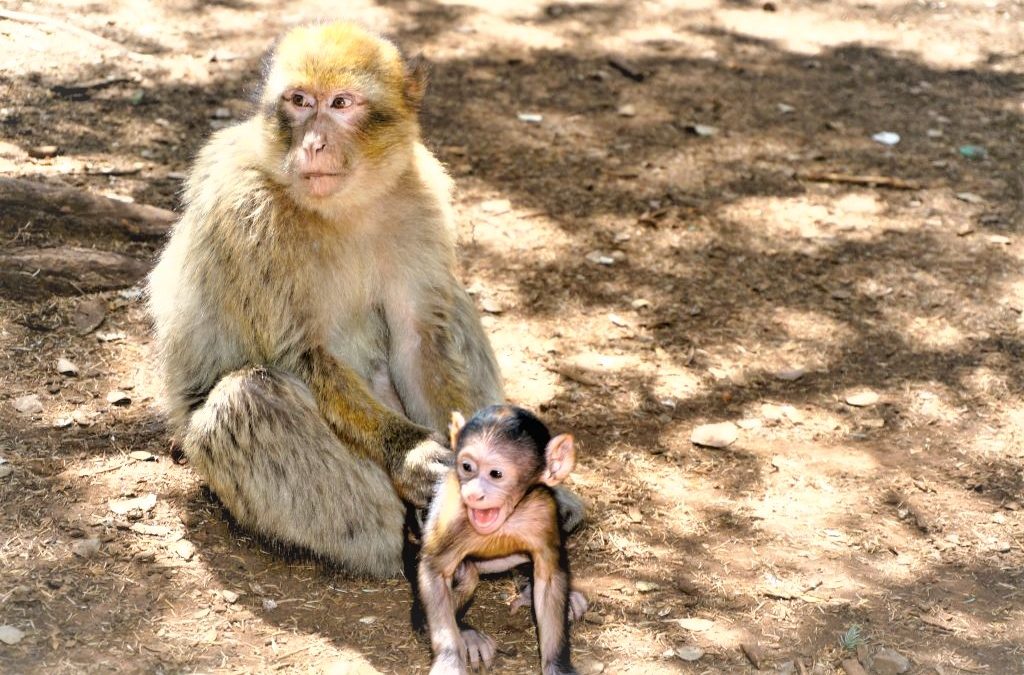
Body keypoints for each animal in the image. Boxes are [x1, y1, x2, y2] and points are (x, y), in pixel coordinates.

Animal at [150, 23, 585, 577]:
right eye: (299, 101)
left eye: (341, 103)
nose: (313, 144)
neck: (340, 209)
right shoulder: (249, 215)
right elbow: (300, 355)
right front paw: (412, 456)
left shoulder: (418, 198)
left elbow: (419, 337)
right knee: (249, 397)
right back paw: (409, 544)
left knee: (451, 304)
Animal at [413, 407, 577, 675]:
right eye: (467, 467)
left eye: (495, 474)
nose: (472, 494)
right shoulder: (451, 510)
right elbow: (434, 570)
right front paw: (449, 659)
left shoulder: (543, 510)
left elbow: (549, 578)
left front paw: (556, 664)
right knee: (468, 576)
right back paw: (465, 634)